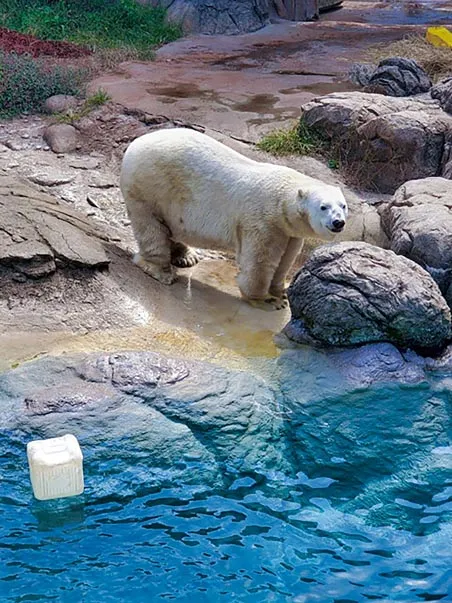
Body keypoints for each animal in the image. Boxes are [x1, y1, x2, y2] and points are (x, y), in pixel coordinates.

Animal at [118, 128, 348, 312]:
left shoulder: (288, 231)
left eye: (343, 205)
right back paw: (161, 270)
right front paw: (267, 300)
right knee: (151, 228)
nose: (338, 222)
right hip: (151, 186)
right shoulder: (262, 221)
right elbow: (259, 261)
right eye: (324, 207)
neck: (282, 198)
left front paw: (280, 292)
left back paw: (187, 257)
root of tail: (134, 144)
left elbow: (286, 258)